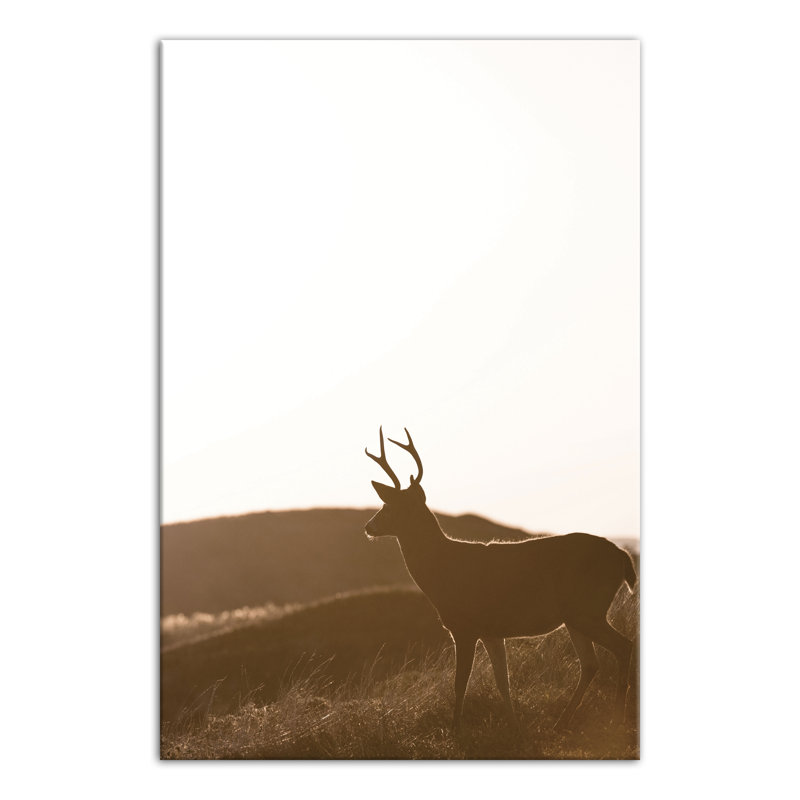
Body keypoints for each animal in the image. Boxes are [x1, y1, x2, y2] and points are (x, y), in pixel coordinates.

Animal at [364, 427, 637, 733]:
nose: (368, 526)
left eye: (390, 506)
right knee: (590, 664)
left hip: (587, 608)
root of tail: (622, 556)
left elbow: (460, 683)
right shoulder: (492, 631)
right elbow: (502, 682)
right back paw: (561, 723)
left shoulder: (464, 626)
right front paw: (515, 727)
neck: (442, 569)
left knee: (623, 647)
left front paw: (455, 731)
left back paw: (616, 719)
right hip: (577, 616)